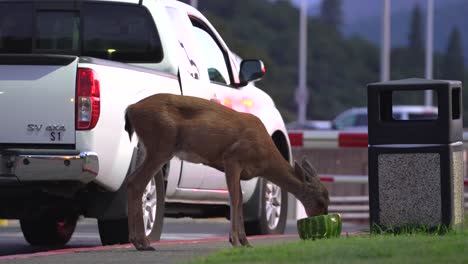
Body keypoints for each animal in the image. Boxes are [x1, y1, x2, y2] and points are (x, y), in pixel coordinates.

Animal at [124, 94, 330, 251]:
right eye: (321, 201)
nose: (323, 218)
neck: (264, 157)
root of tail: (132, 108)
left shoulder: (239, 170)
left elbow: (239, 199)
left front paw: (245, 241)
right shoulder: (232, 159)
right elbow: (235, 198)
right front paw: (236, 241)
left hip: (146, 147)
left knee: (132, 180)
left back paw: (137, 241)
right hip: (161, 145)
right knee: (138, 183)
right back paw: (144, 243)